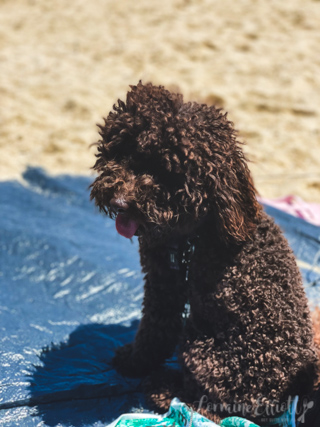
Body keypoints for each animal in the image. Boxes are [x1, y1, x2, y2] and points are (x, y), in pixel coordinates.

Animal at [89, 83, 318, 424]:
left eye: (166, 172)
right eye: (123, 152)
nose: (119, 201)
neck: (202, 228)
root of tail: (286, 397)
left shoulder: (164, 285)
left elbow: (154, 332)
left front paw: (132, 362)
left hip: (201, 349)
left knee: (209, 407)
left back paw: (163, 389)